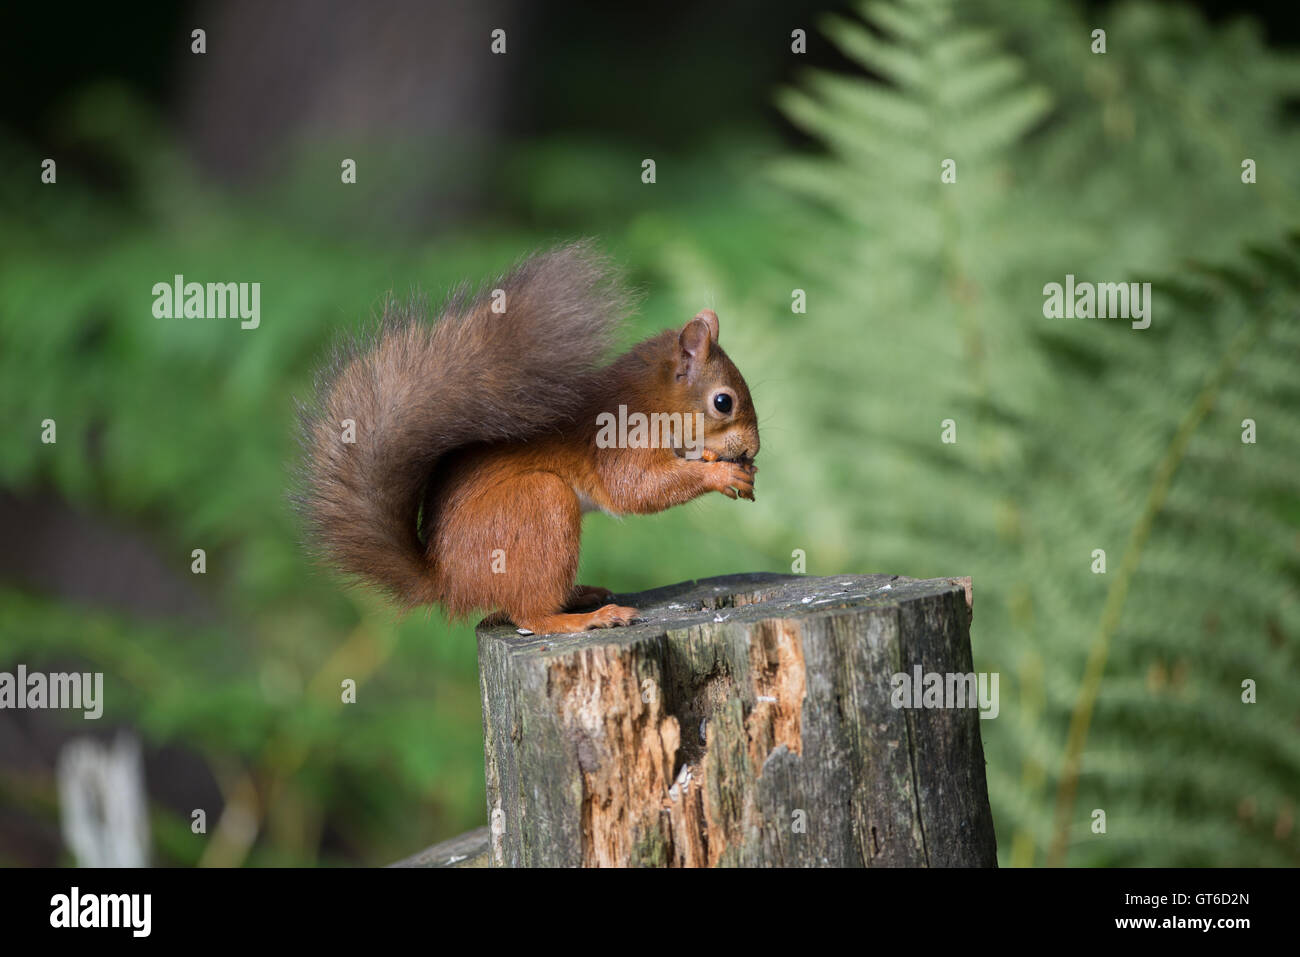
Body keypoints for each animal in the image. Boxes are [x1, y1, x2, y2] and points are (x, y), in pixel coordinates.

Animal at [296, 244, 759, 634]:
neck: (651, 399)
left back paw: (580, 595)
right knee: (528, 614)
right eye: (723, 402)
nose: (753, 449)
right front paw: (721, 475)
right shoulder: (622, 440)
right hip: (538, 505)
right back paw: (584, 618)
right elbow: (634, 489)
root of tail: (448, 582)